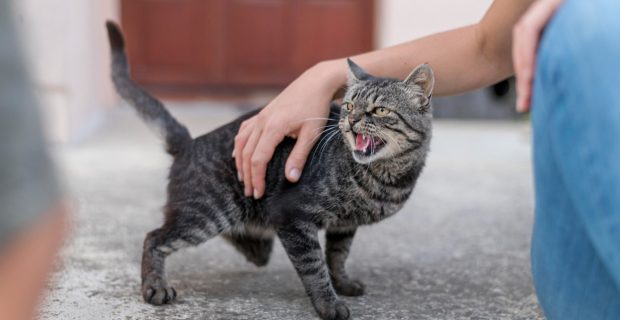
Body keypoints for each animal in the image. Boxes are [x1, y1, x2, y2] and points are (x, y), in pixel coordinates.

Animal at [106, 22, 434, 320]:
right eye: (350, 105)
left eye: (380, 110)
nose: (351, 120)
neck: (383, 180)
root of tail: (189, 143)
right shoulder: (292, 215)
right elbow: (314, 266)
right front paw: (328, 304)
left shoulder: (343, 226)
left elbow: (337, 256)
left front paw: (342, 283)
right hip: (207, 214)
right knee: (154, 237)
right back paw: (155, 286)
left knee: (250, 247)